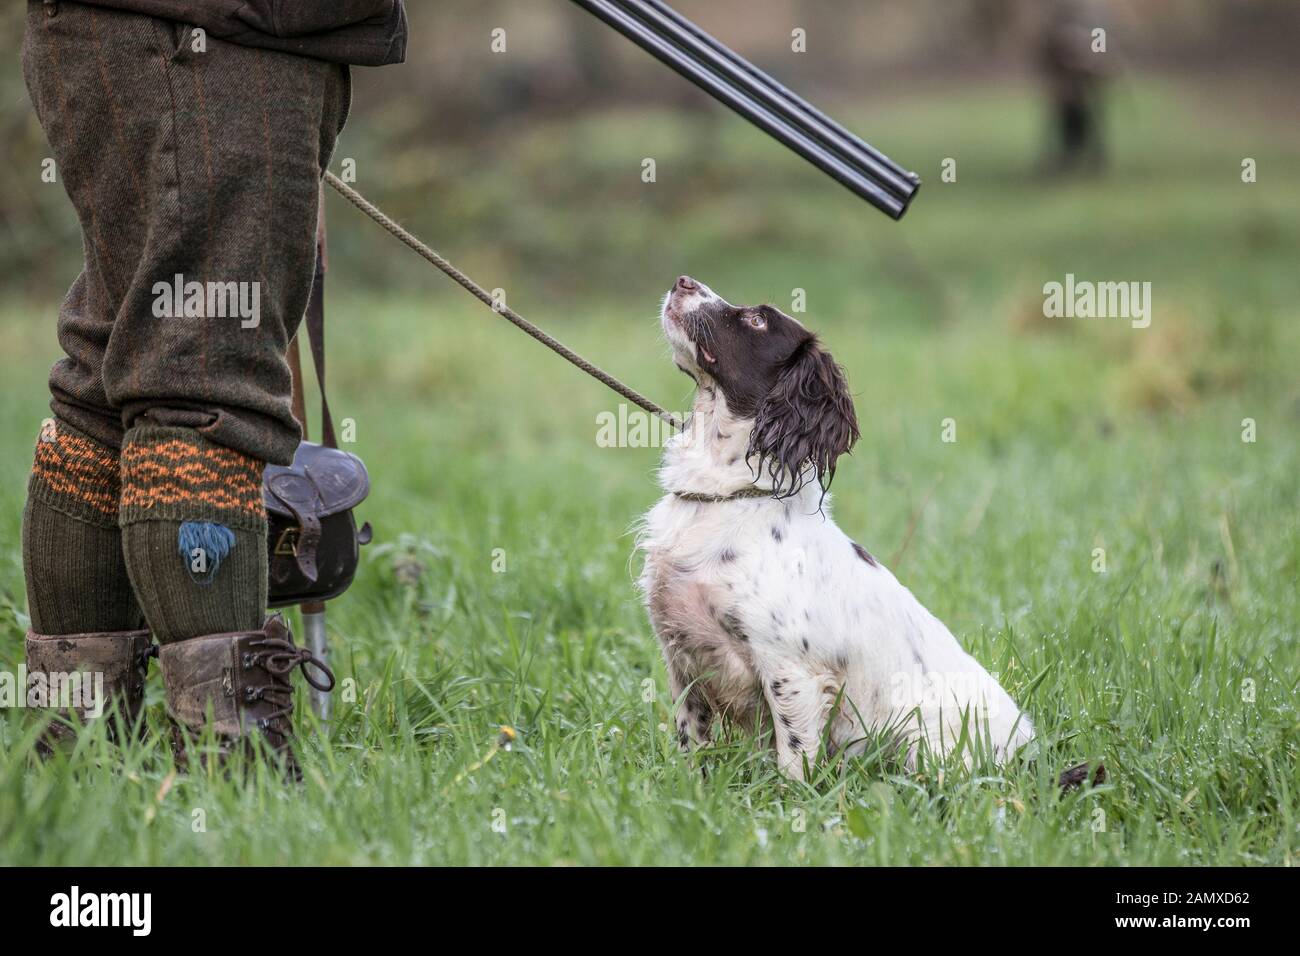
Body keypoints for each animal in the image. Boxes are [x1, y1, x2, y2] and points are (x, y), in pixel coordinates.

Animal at [639, 273, 1034, 780]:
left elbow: (794, 756)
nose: (683, 280)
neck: (725, 493)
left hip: (920, 748)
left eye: (757, 320)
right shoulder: (682, 654)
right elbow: (692, 741)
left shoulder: (789, 668)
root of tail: (1028, 752)